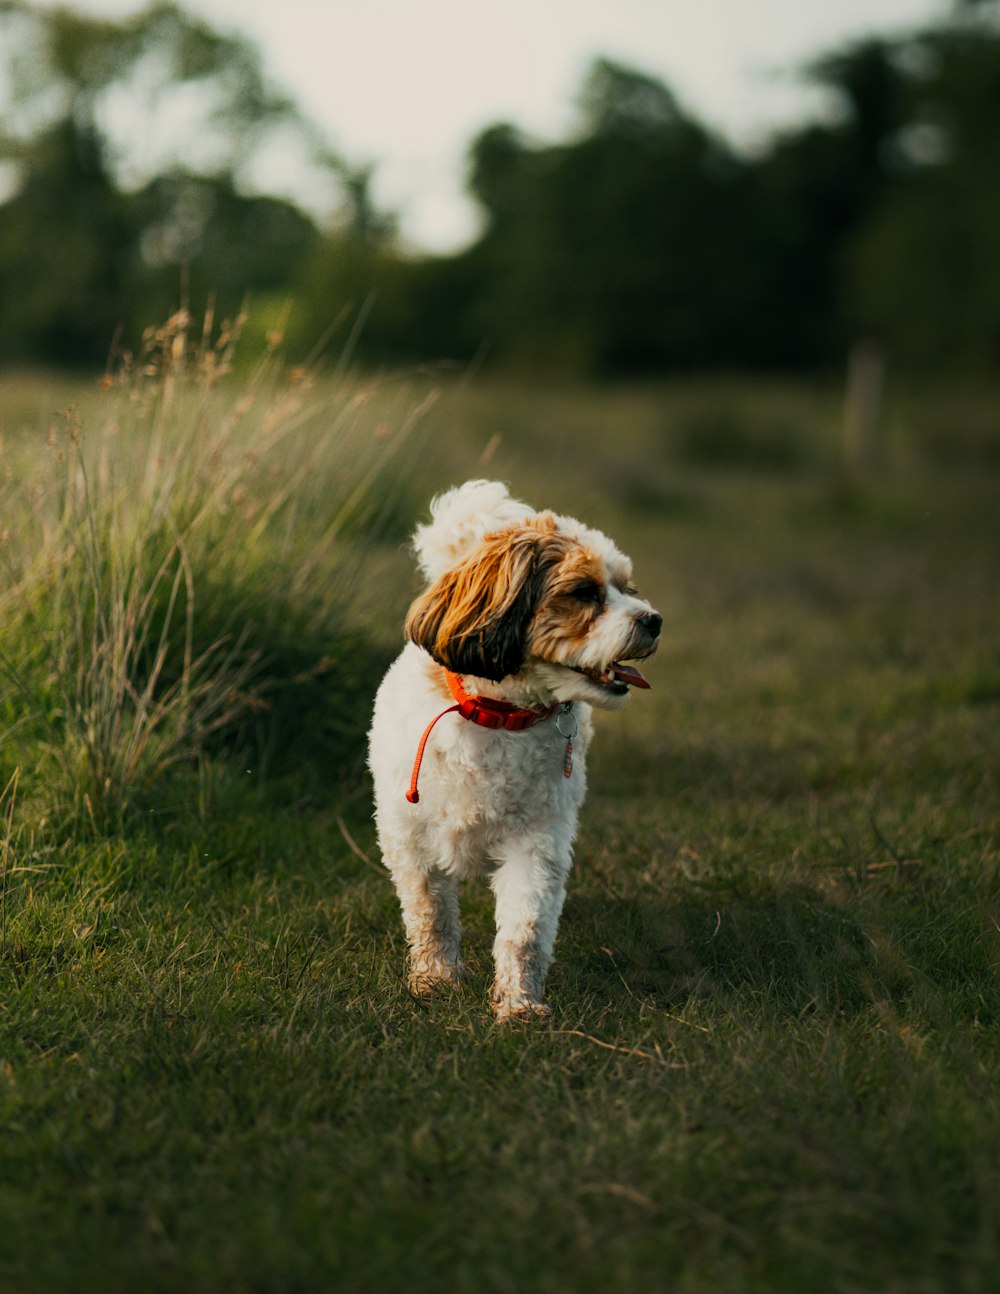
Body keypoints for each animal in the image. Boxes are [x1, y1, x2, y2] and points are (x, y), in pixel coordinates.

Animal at [364, 478, 654, 1019]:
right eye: (585, 593)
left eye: (628, 589)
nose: (654, 620)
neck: (499, 716)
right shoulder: (412, 839)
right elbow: (431, 914)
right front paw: (436, 981)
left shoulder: (536, 844)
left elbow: (525, 931)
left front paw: (520, 1004)